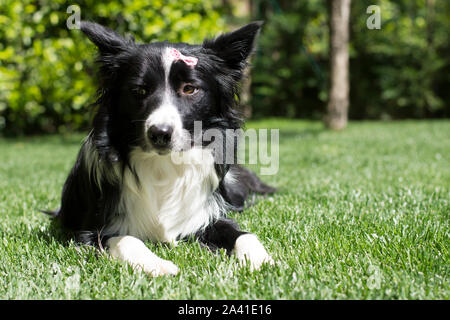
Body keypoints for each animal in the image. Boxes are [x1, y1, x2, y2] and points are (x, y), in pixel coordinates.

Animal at [47, 21, 276, 276]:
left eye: (189, 89)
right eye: (139, 91)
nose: (160, 133)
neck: (164, 164)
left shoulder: (205, 217)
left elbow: (244, 234)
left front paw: (261, 260)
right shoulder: (88, 231)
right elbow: (125, 239)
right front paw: (158, 265)